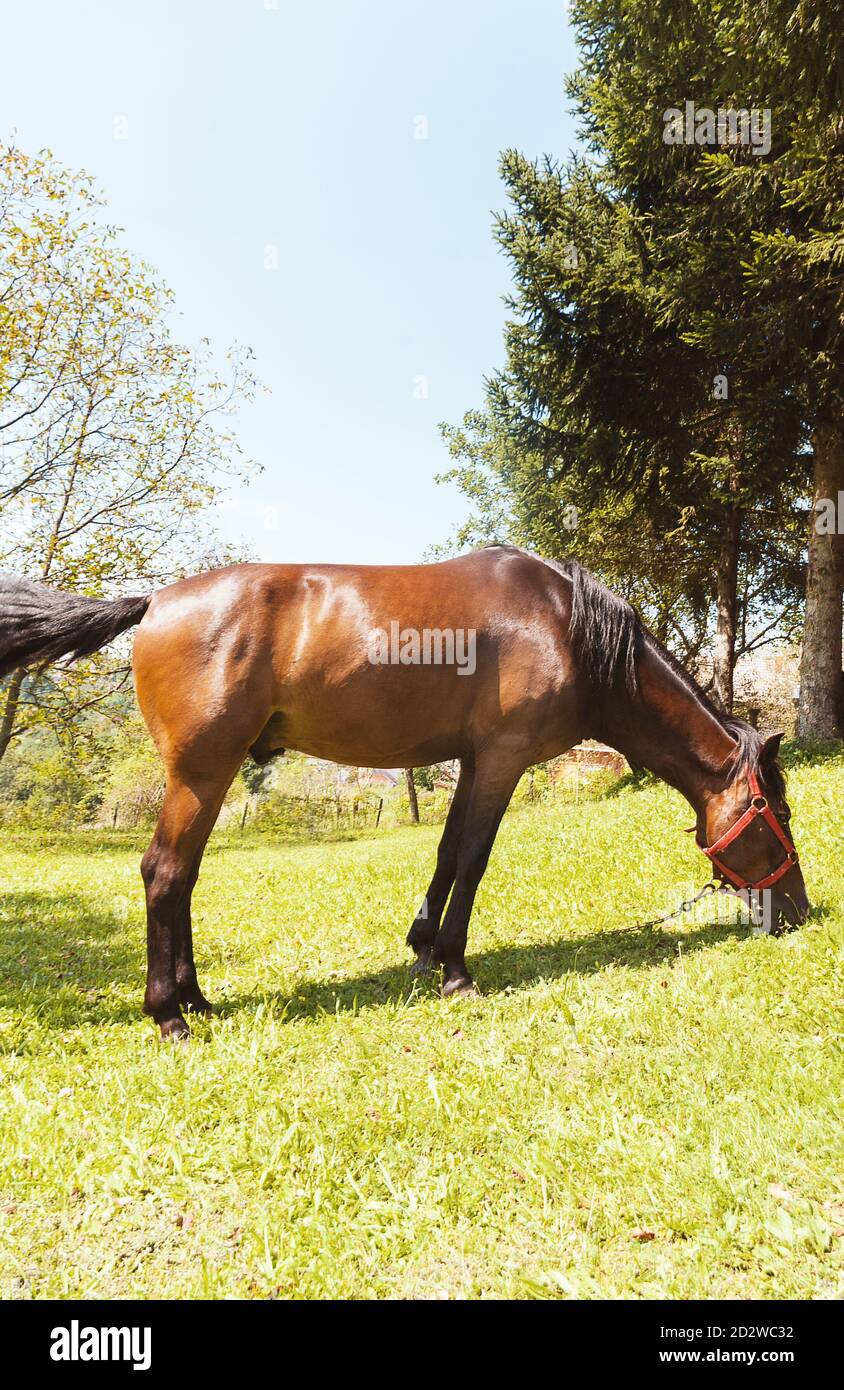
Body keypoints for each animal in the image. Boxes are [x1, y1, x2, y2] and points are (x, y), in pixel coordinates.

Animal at [0, 546, 809, 1039]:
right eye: (776, 812)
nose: (799, 910)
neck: (566, 627)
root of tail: (154, 601)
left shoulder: (474, 761)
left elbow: (448, 854)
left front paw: (422, 950)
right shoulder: (504, 759)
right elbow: (474, 861)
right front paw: (455, 969)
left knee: (184, 876)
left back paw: (197, 998)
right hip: (201, 774)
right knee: (165, 873)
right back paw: (169, 1015)